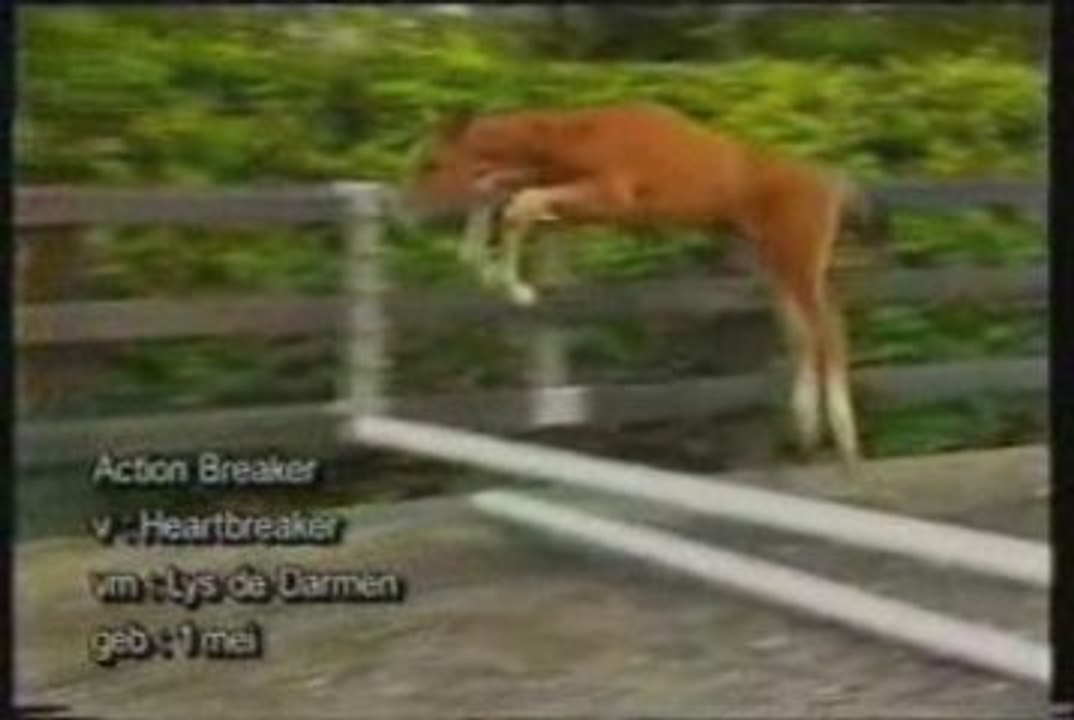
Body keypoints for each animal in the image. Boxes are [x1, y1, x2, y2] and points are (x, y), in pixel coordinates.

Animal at [402, 102, 889, 475]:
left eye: (432, 163)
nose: (405, 211)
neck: (582, 134)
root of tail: (833, 182)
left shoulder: (609, 197)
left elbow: (519, 204)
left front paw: (515, 287)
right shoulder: (577, 205)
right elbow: (504, 197)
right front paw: (485, 268)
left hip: (799, 263)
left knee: (829, 331)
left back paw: (844, 442)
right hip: (776, 266)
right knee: (804, 334)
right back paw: (808, 434)